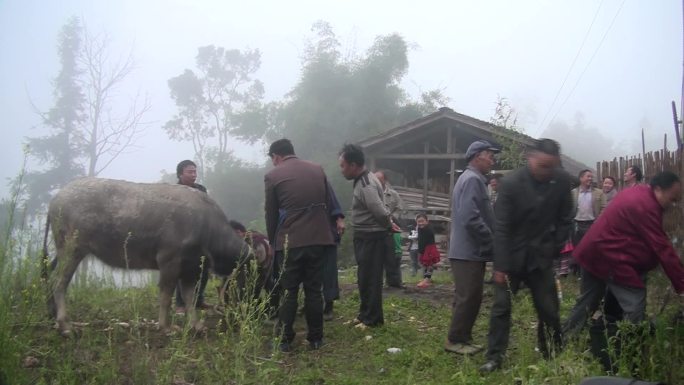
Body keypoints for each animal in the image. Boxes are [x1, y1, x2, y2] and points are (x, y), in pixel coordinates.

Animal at [42, 178, 248, 336]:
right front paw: (165, 327)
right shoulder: (169, 261)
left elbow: (190, 297)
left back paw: (54, 316)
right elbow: (166, 295)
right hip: (72, 250)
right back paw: (66, 326)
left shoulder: (191, 268)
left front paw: (196, 326)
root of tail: (55, 200)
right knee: (58, 283)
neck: (207, 226)